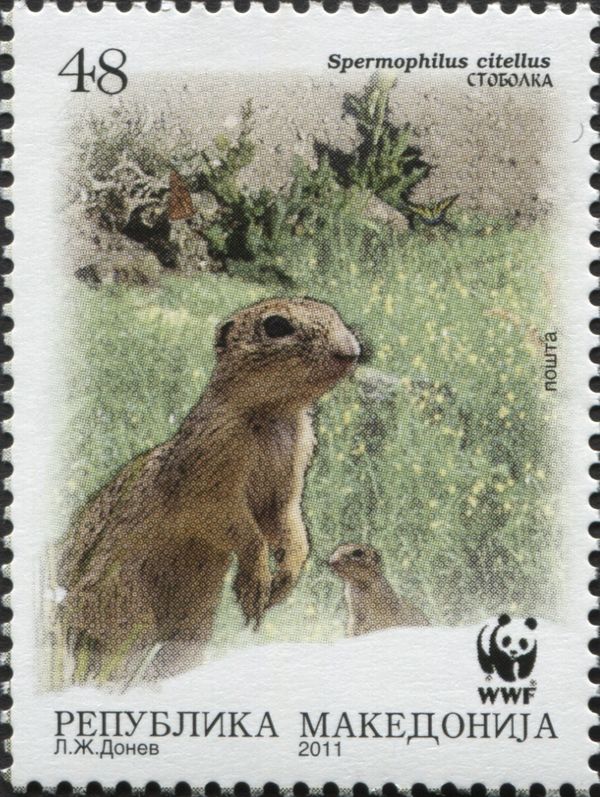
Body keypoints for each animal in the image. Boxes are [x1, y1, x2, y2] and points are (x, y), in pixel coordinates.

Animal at [58, 297, 360, 681]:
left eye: (333, 312)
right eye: (276, 325)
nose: (351, 351)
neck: (274, 415)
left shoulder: (286, 492)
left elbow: (292, 528)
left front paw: (283, 581)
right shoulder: (211, 485)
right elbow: (247, 534)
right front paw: (256, 587)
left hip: (194, 628)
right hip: (125, 613)